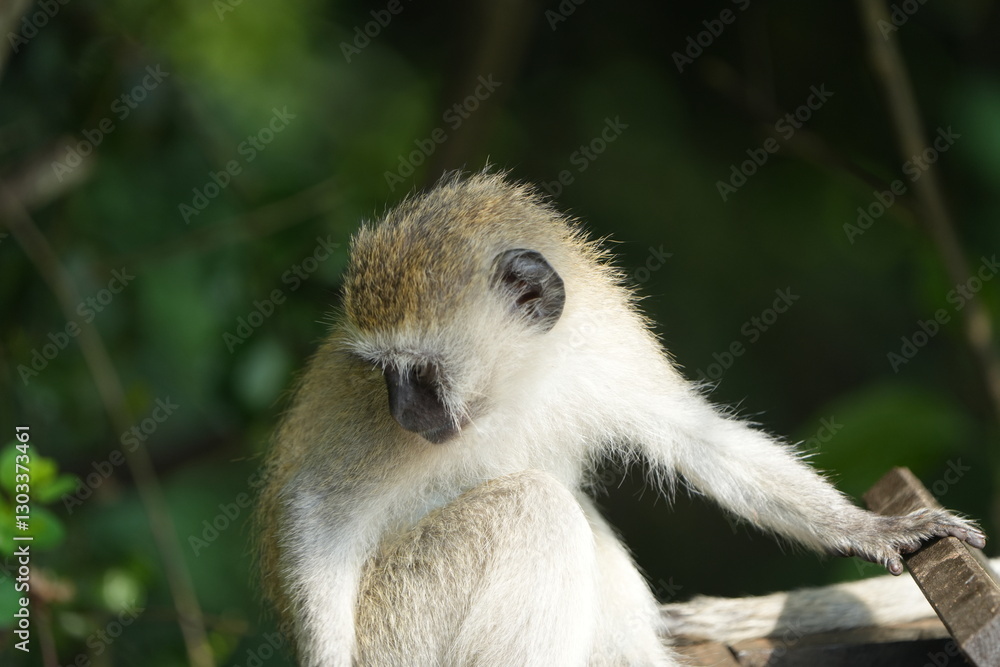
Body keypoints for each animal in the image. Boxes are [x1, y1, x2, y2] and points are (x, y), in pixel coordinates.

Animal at [257, 170, 986, 666]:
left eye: (421, 376)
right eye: (385, 373)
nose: (403, 411)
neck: (519, 382)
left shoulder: (605, 344)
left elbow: (703, 442)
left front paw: (876, 528)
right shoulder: (371, 427)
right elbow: (318, 514)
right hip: (399, 632)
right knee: (535, 507)